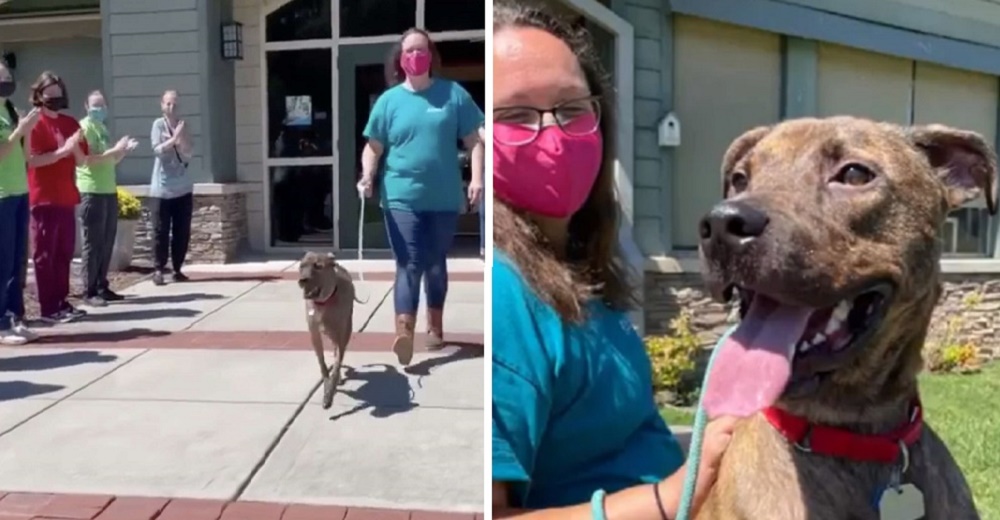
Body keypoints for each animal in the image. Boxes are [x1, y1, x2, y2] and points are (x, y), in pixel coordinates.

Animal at [300, 252, 372, 410]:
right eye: (301, 266)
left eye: (318, 266)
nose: (302, 280)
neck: (324, 303)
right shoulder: (314, 335)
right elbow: (323, 366)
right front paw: (327, 387)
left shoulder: (341, 336)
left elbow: (337, 363)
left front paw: (330, 393)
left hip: (342, 330)